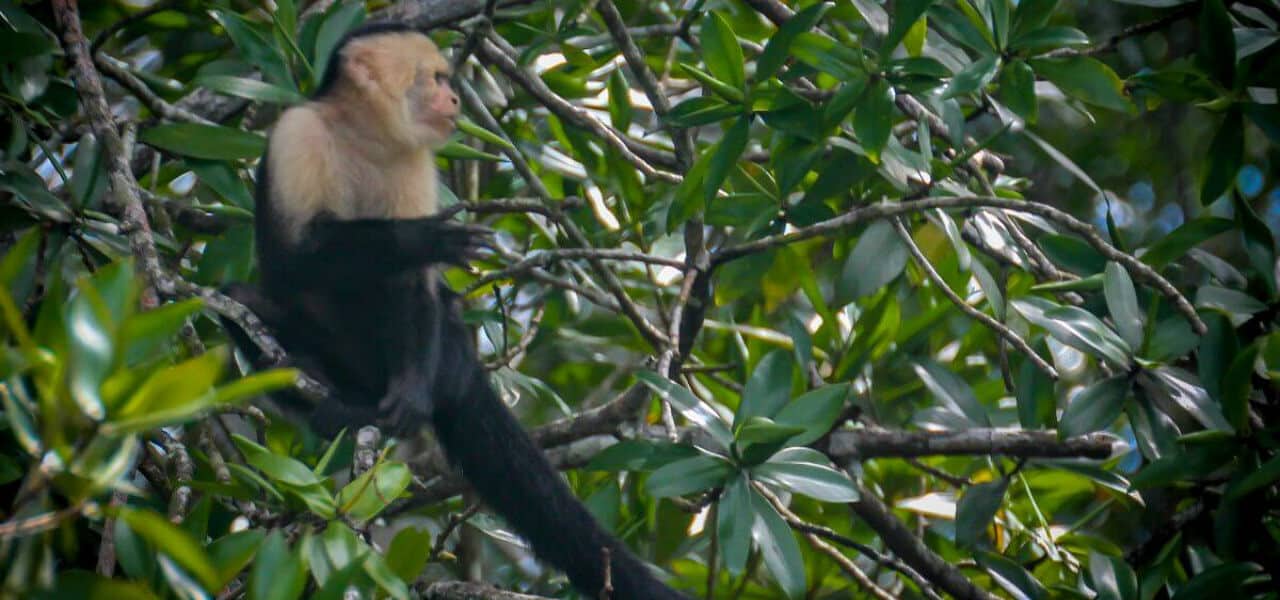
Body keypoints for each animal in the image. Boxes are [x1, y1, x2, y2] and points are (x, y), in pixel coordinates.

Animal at [226, 23, 696, 598]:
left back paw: (379, 403)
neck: (363, 137)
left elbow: (413, 287)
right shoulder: (299, 134)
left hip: (438, 365)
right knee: (243, 301)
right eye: (436, 78)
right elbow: (295, 257)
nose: (454, 99)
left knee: (429, 314)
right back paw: (322, 379)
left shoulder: (414, 162)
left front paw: (411, 394)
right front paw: (421, 238)